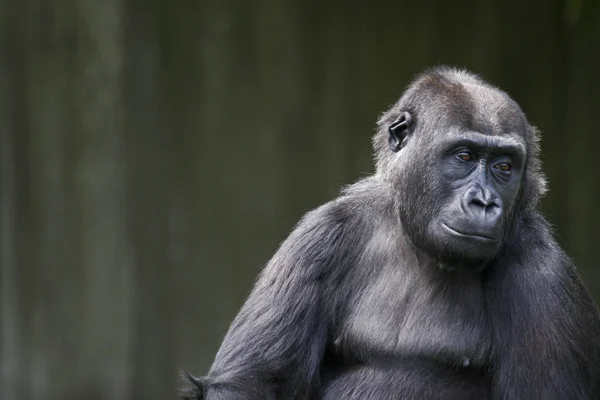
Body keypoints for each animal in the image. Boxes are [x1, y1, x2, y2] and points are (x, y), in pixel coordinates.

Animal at [180, 67, 600, 398]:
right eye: (464, 156)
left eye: (504, 166)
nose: (484, 202)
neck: (419, 244)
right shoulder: (320, 237)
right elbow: (252, 383)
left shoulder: (545, 280)